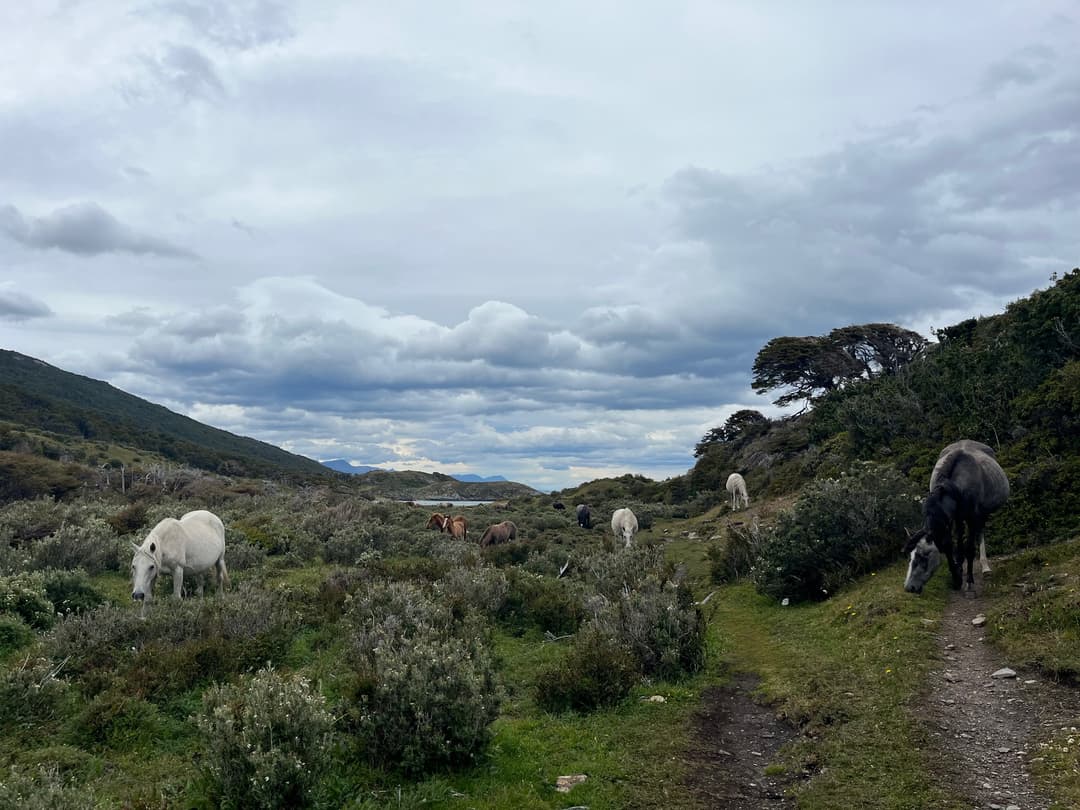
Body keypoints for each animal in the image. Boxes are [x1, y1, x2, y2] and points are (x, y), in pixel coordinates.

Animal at [907, 444, 1006, 596]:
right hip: (959, 520)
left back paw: (985, 568)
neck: (955, 488)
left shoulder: (972, 518)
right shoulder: (949, 520)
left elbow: (969, 549)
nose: (909, 588)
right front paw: (957, 578)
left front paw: (969, 583)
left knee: (980, 534)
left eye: (924, 556)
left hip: (981, 516)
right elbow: (950, 546)